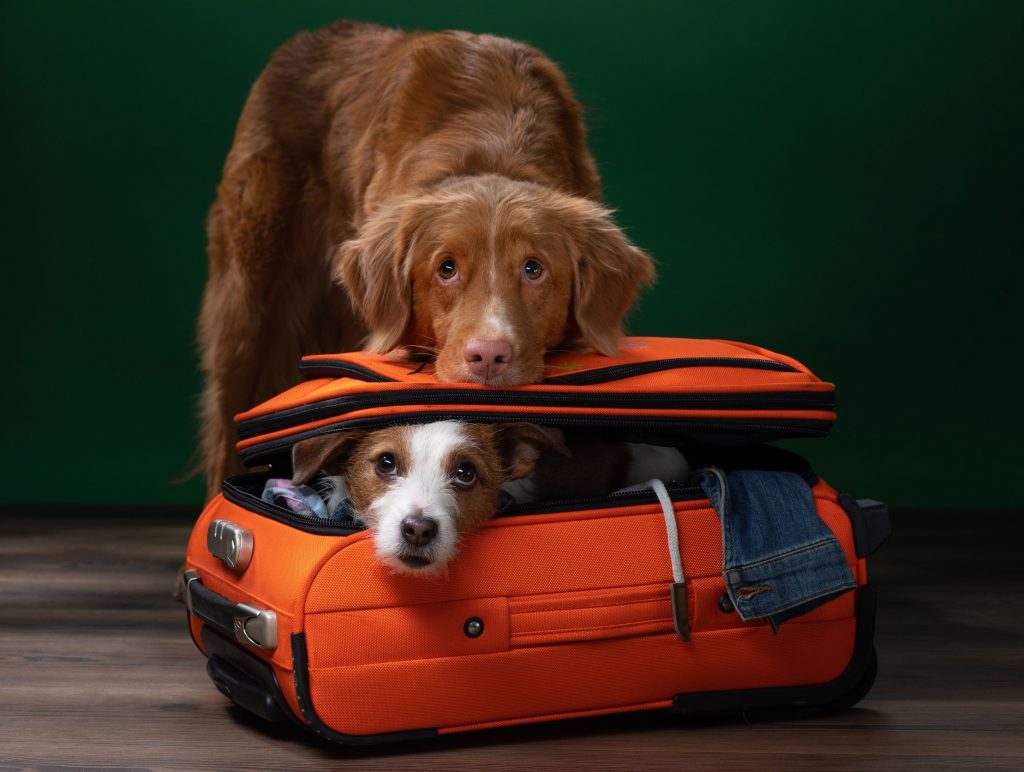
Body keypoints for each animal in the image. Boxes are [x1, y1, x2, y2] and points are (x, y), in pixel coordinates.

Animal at [195, 22, 651, 499]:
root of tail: (310, 36)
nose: (488, 356)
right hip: (245, 308)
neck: (494, 147)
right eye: (446, 269)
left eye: (533, 269)